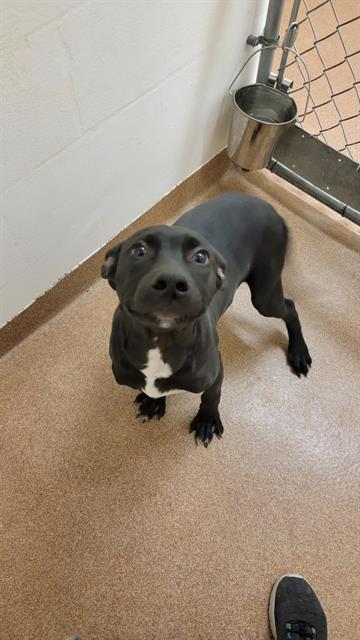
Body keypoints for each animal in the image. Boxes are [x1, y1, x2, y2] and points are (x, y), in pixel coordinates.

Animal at [102, 192, 310, 448]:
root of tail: (269, 207)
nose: (171, 282)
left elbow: (212, 395)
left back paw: (298, 352)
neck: (160, 341)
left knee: (290, 307)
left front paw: (206, 420)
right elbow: (157, 391)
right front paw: (155, 402)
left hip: (265, 295)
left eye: (200, 257)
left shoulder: (215, 372)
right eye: (139, 251)